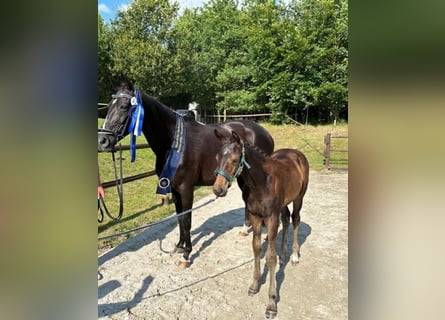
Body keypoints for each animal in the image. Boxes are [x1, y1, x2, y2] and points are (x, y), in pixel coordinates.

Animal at [96, 77, 274, 268]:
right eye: (108, 106)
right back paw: (245, 228)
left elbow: (187, 220)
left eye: (123, 106)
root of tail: (264, 132)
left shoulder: (186, 188)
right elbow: (180, 219)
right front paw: (180, 246)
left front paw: (186, 255)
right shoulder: (174, 189)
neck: (174, 142)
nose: (102, 141)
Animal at [213, 129, 306, 318]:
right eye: (217, 158)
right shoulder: (255, 217)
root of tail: (297, 153)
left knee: (295, 220)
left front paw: (271, 303)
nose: (218, 190)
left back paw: (294, 255)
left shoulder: (271, 218)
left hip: (299, 198)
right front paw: (254, 286)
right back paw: (283, 252)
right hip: (283, 204)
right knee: (286, 219)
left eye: (235, 160)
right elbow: (256, 248)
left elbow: (270, 258)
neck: (262, 182)